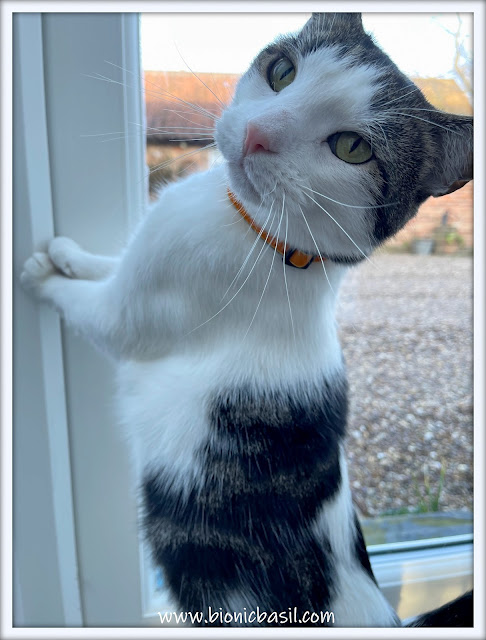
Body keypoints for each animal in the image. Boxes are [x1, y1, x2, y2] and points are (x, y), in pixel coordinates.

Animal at [20, 12, 472, 628]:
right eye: (282, 71)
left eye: (352, 147)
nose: (259, 132)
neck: (262, 235)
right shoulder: (139, 267)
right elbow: (113, 267)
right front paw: (70, 255)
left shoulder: (132, 317)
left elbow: (96, 307)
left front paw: (43, 275)